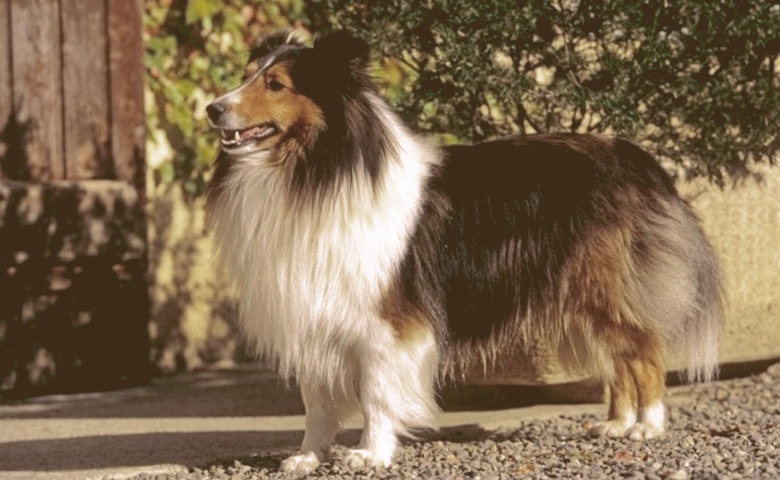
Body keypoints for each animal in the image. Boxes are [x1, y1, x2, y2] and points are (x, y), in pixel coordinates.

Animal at [204, 31, 724, 474]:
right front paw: (308, 457)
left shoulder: (385, 325)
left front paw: (371, 455)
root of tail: (632, 155)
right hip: (580, 294)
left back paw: (647, 426)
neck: (316, 167)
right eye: (245, 75)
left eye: (275, 84)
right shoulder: (312, 312)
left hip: (600, 286)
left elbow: (376, 394)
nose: (212, 108)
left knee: (645, 348)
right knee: (618, 359)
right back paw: (616, 423)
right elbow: (316, 402)